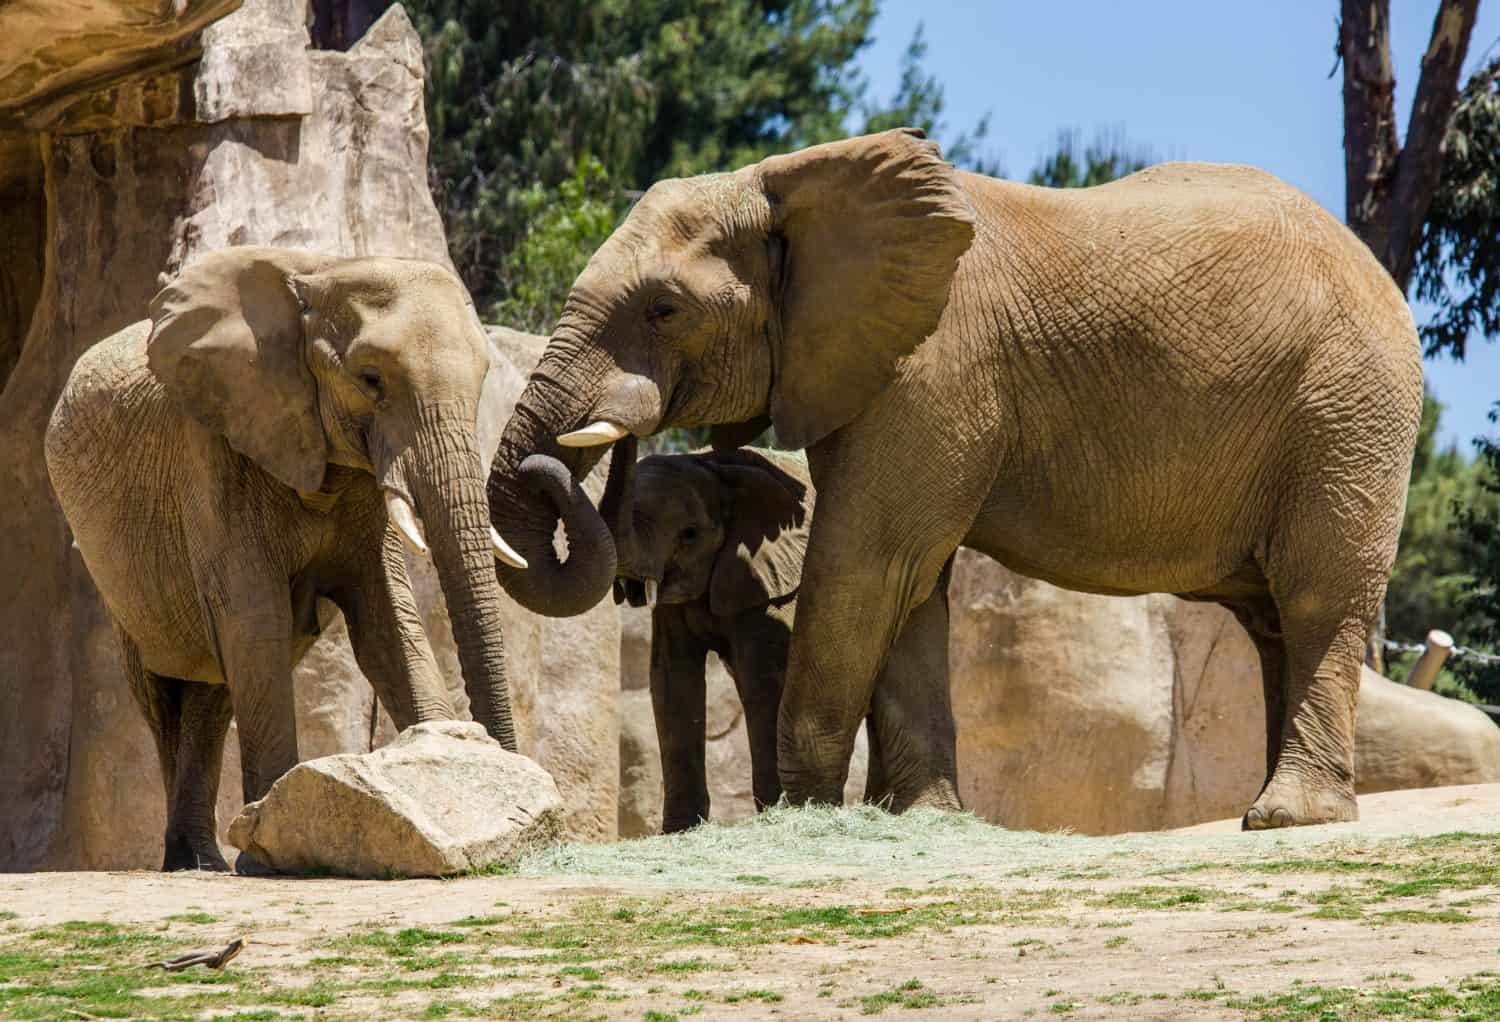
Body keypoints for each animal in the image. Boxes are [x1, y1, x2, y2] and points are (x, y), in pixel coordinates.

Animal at [45, 247, 532, 871]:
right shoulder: (216, 450)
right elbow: (258, 622)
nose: (510, 770)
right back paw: (191, 861)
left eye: (481, 382)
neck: (325, 271)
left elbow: (386, 626)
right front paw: (270, 854)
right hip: (115, 576)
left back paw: (203, 861)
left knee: (214, 694)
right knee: (163, 692)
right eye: (371, 380)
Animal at [486, 128, 1423, 830]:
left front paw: (805, 815)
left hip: (1348, 407)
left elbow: (867, 564)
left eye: (664, 310)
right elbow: (908, 581)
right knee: (1274, 620)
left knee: (1317, 594)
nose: (590, 446)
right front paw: (918, 818)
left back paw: (1288, 816)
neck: (793, 184)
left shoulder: (935, 367)